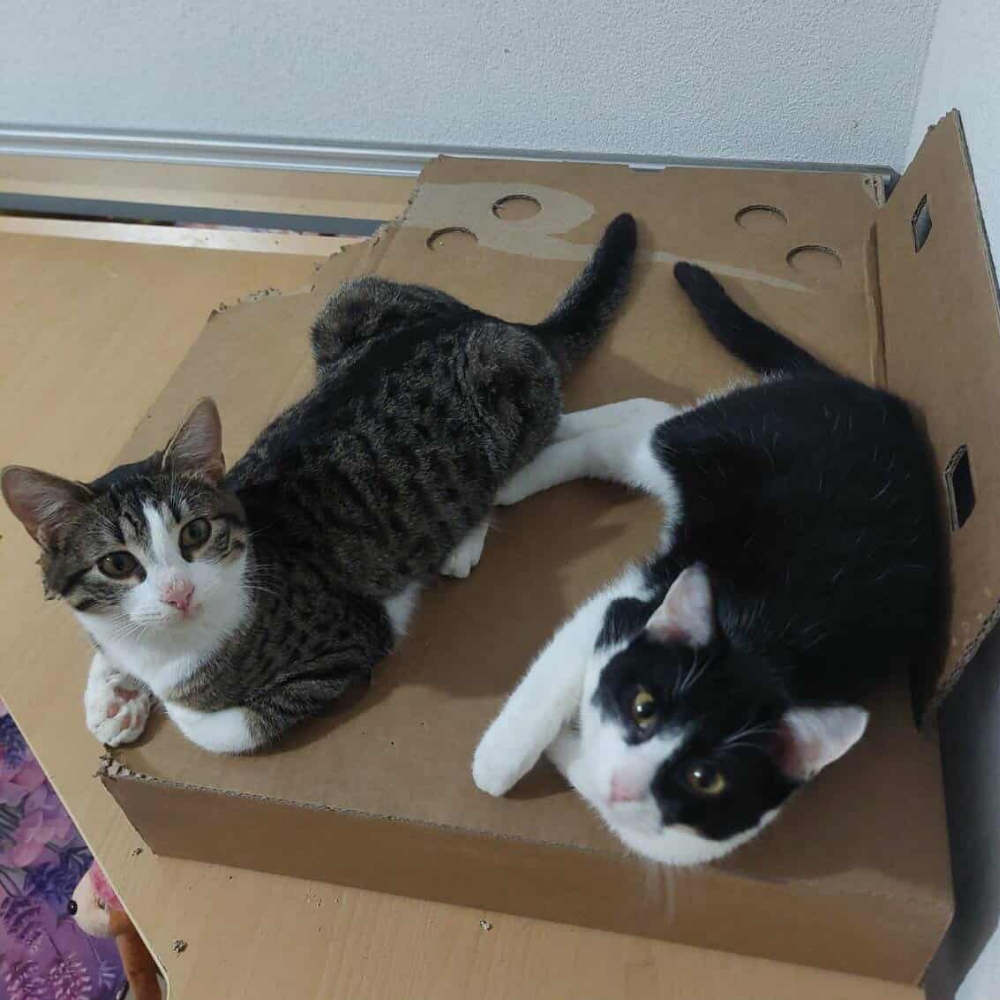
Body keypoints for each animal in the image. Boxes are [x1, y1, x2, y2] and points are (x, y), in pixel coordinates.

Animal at [2, 213, 637, 754]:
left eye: (195, 533)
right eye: (117, 563)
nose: (178, 593)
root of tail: (499, 322)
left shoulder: (348, 646)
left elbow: (218, 728)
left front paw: (159, 700)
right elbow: (102, 641)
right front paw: (113, 696)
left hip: (506, 383)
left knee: (514, 466)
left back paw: (464, 539)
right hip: (348, 303)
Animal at [473, 262, 946, 866]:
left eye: (704, 778)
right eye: (645, 708)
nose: (625, 784)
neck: (762, 647)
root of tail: (877, 397)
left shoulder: (701, 832)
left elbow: (633, 817)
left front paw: (573, 746)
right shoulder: (623, 605)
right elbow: (549, 687)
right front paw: (498, 760)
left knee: (648, 415)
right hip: (716, 441)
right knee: (642, 428)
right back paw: (519, 472)